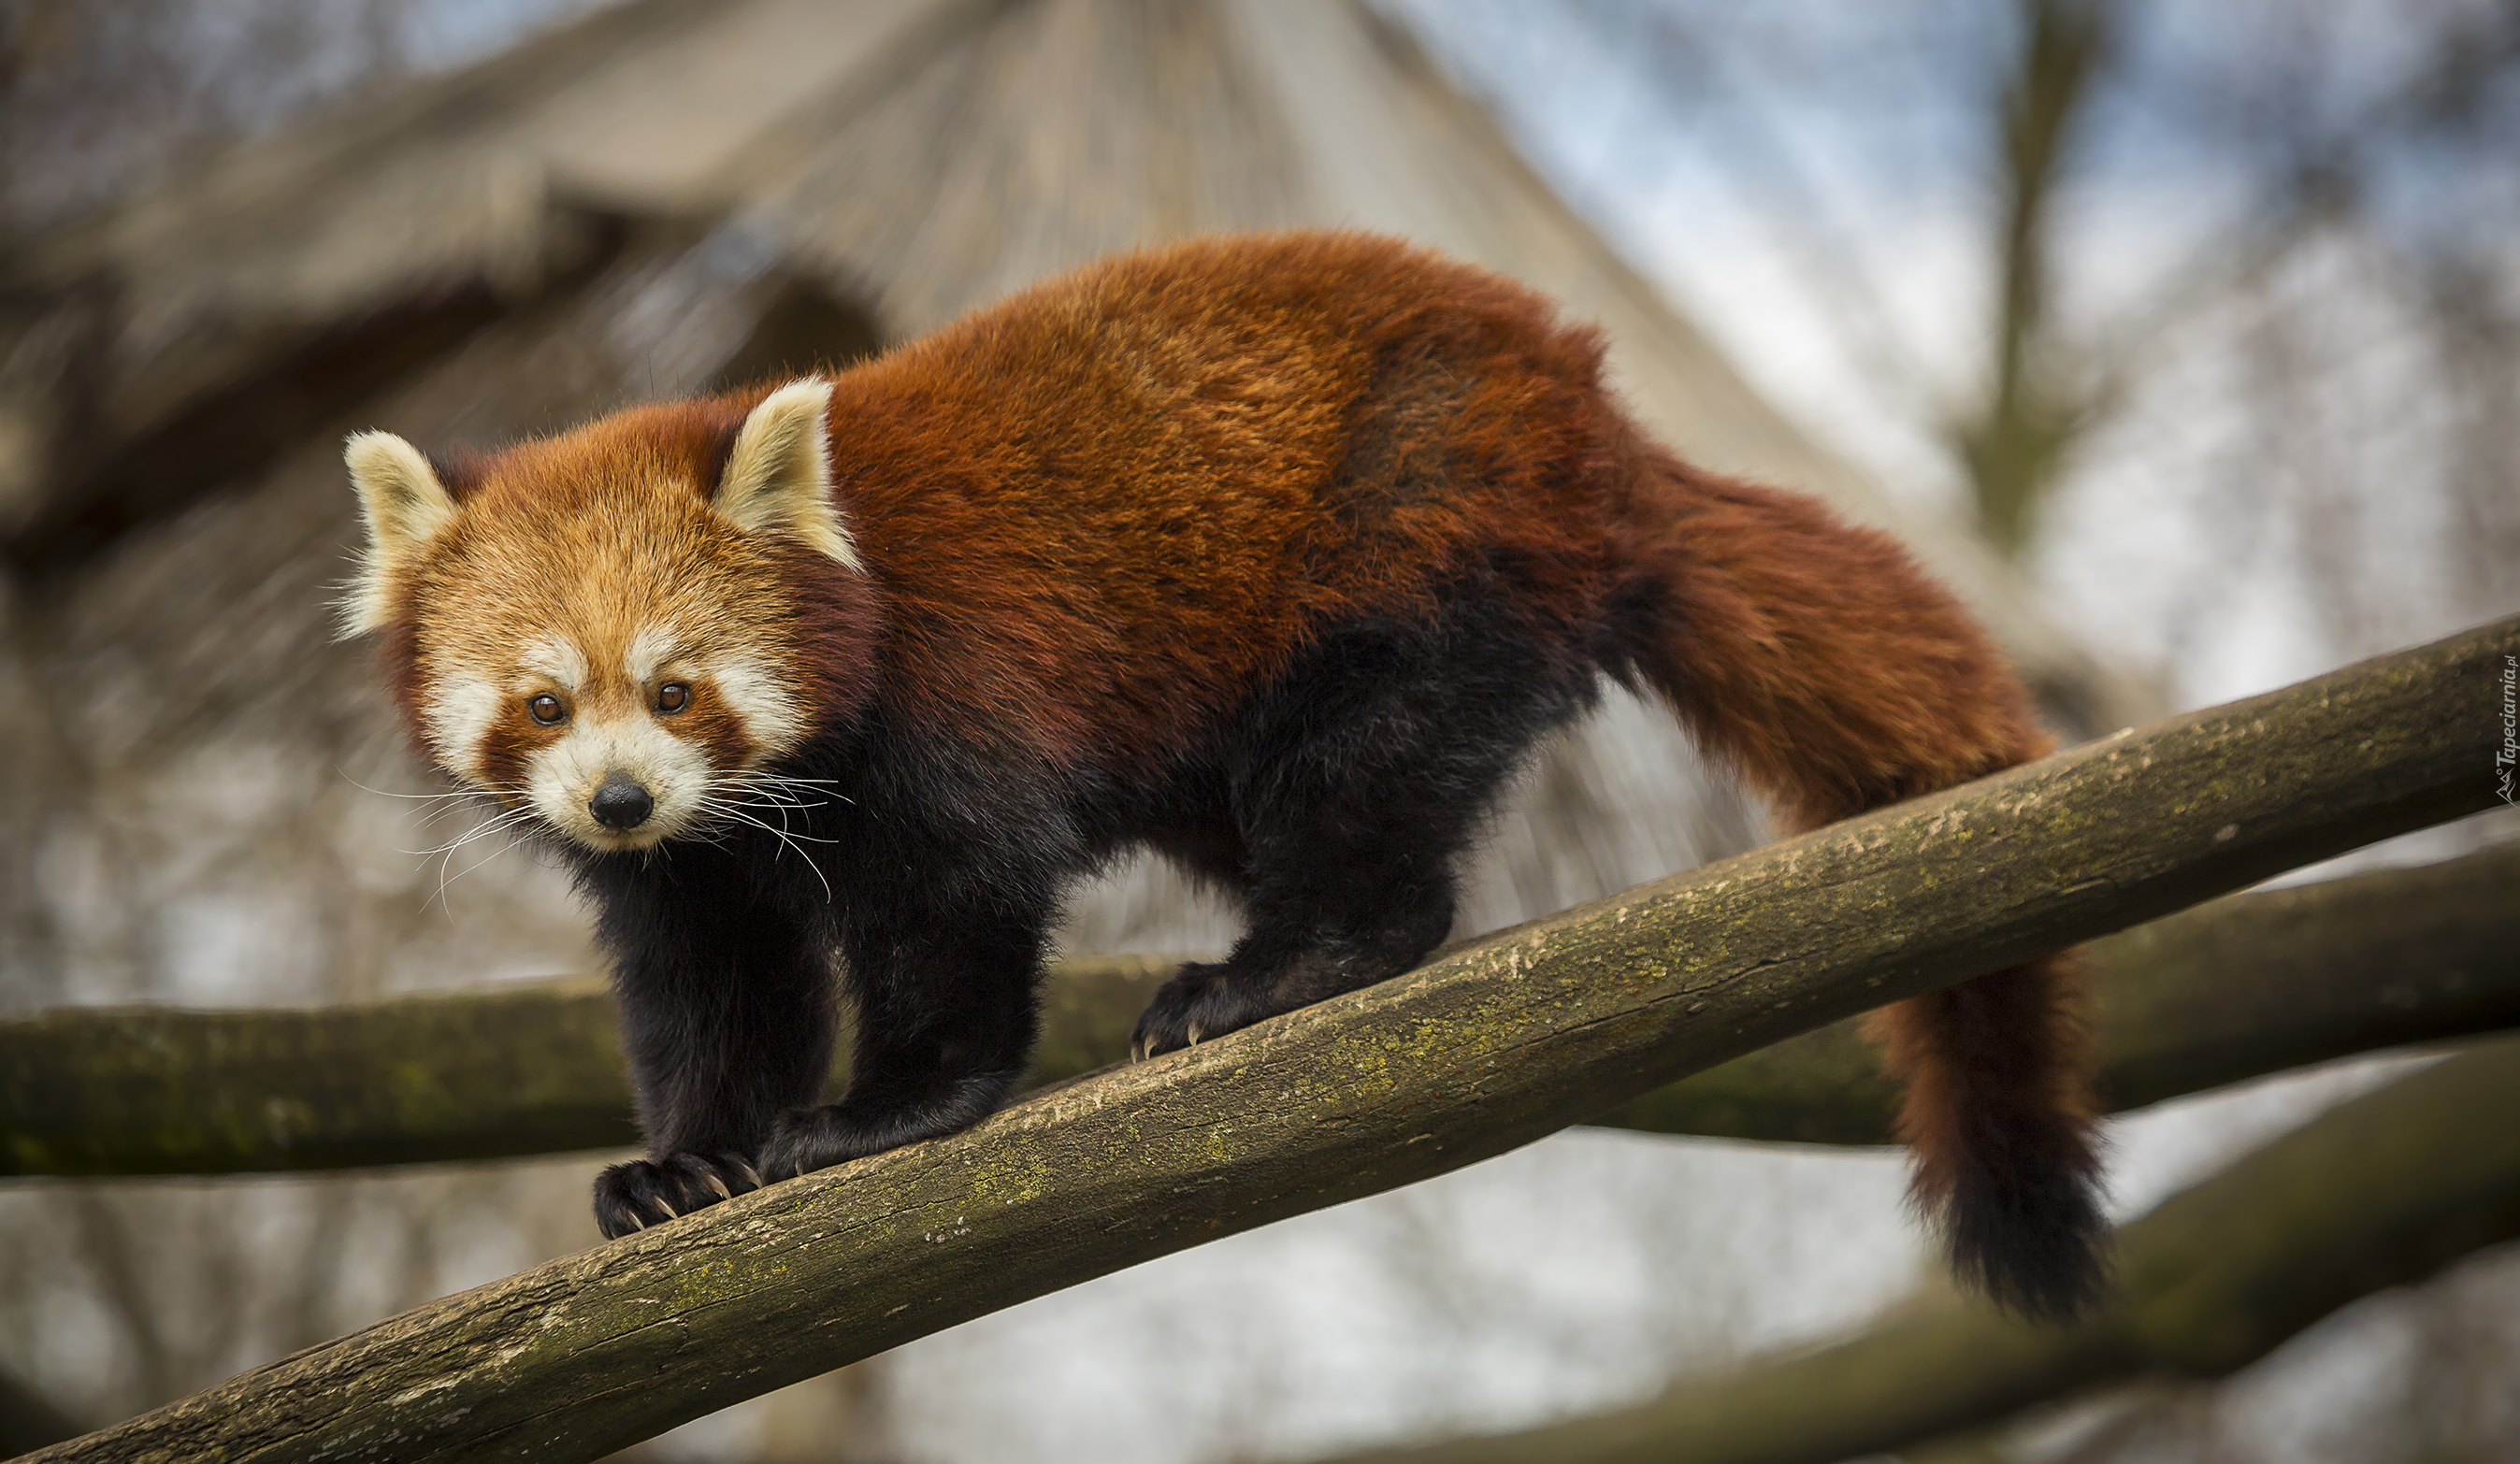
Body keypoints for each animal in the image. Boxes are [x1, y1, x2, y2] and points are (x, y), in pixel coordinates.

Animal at [339, 234, 2107, 1320]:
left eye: (676, 687)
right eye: (545, 704)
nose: (620, 800)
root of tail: (1592, 417)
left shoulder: (952, 702)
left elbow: (957, 914)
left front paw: (883, 1112)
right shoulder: (698, 868)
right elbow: (708, 976)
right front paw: (683, 1163)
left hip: (1411, 507)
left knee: (1368, 762)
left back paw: (1286, 963)